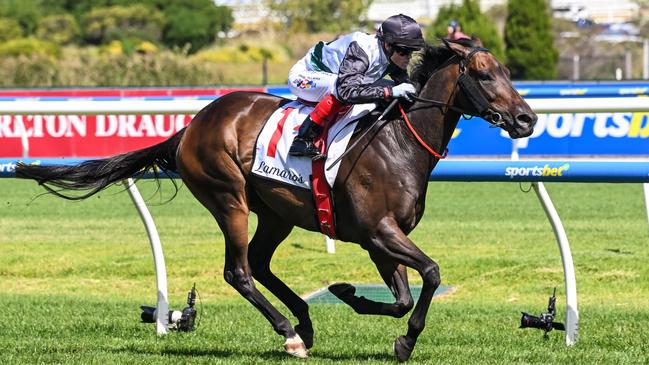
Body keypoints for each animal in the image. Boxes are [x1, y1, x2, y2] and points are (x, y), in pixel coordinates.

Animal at [16, 40, 536, 362]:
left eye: (508, 72)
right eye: (484, 75)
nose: (527, 120)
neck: (398, 142)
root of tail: (192, 124)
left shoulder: (381, 239)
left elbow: (404, 296)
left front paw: (352, 298)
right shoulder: (378, 231)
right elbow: (430, 273)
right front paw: (399, 337)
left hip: (275, 212)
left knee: (262, 264)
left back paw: (303, 321)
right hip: (228, 198)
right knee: (240, 270)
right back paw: (289, 334)